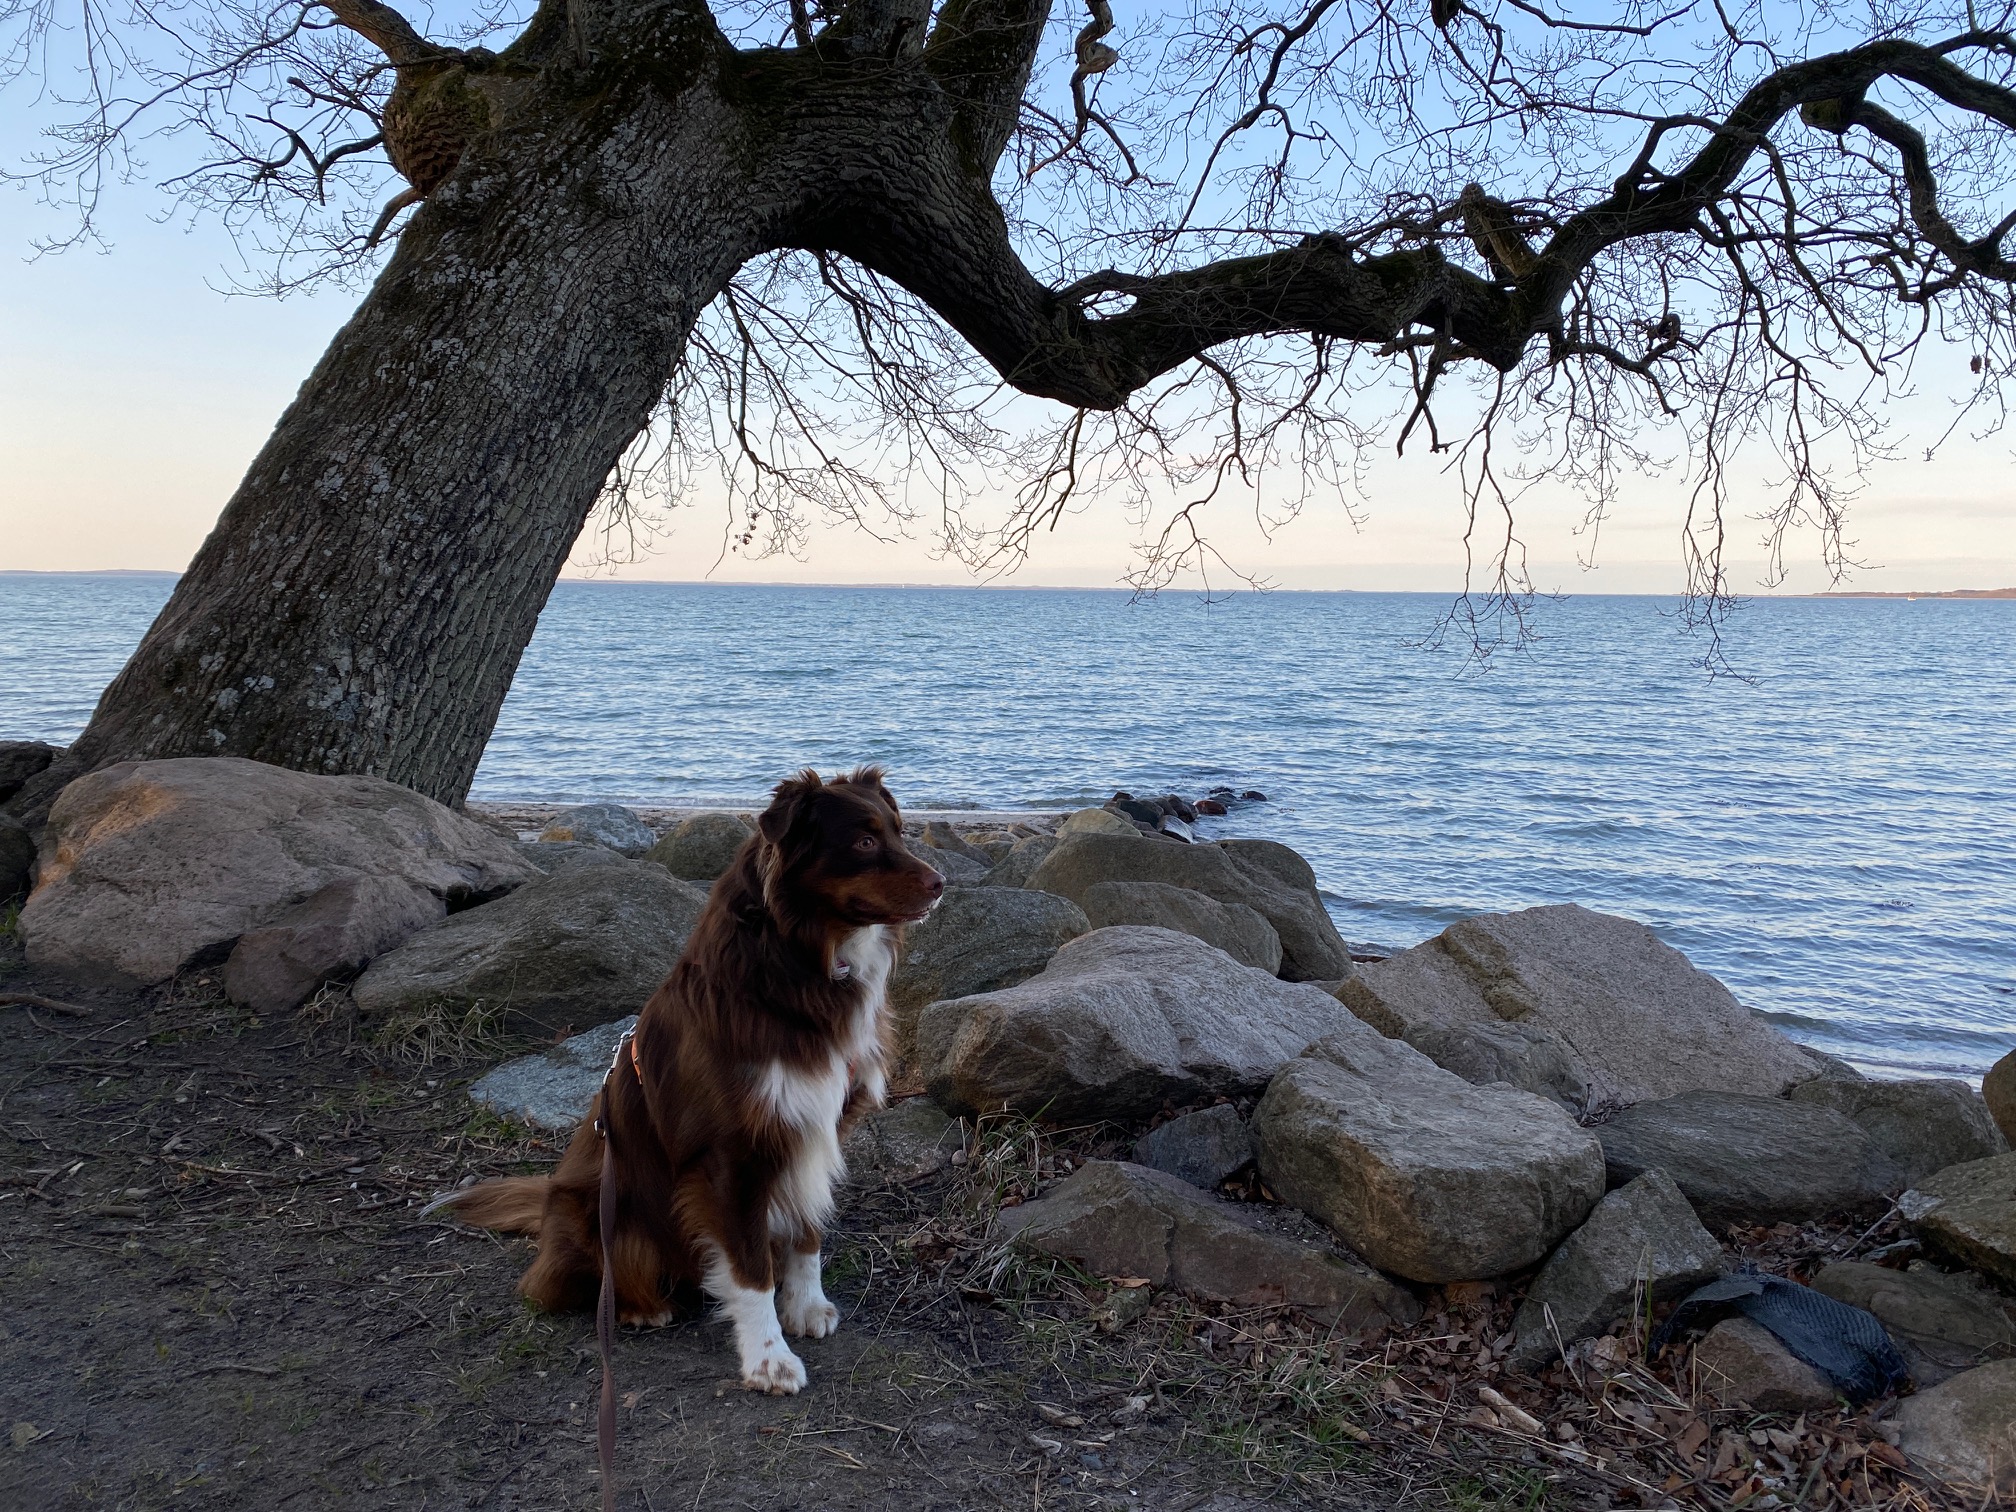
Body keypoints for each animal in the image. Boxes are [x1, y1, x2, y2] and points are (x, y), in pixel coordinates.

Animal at [437, 770, 939, 1395]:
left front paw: (805, 1305)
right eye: (865, 841)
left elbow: (806, 1229)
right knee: (573, 1283)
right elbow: (750, 1267)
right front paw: (768, 1357)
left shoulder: (818, 1124)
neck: (797, 966)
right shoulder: (732, 1153)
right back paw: (639, 1307)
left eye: (898, 831)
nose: (941, 884)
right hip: (604, 1210)